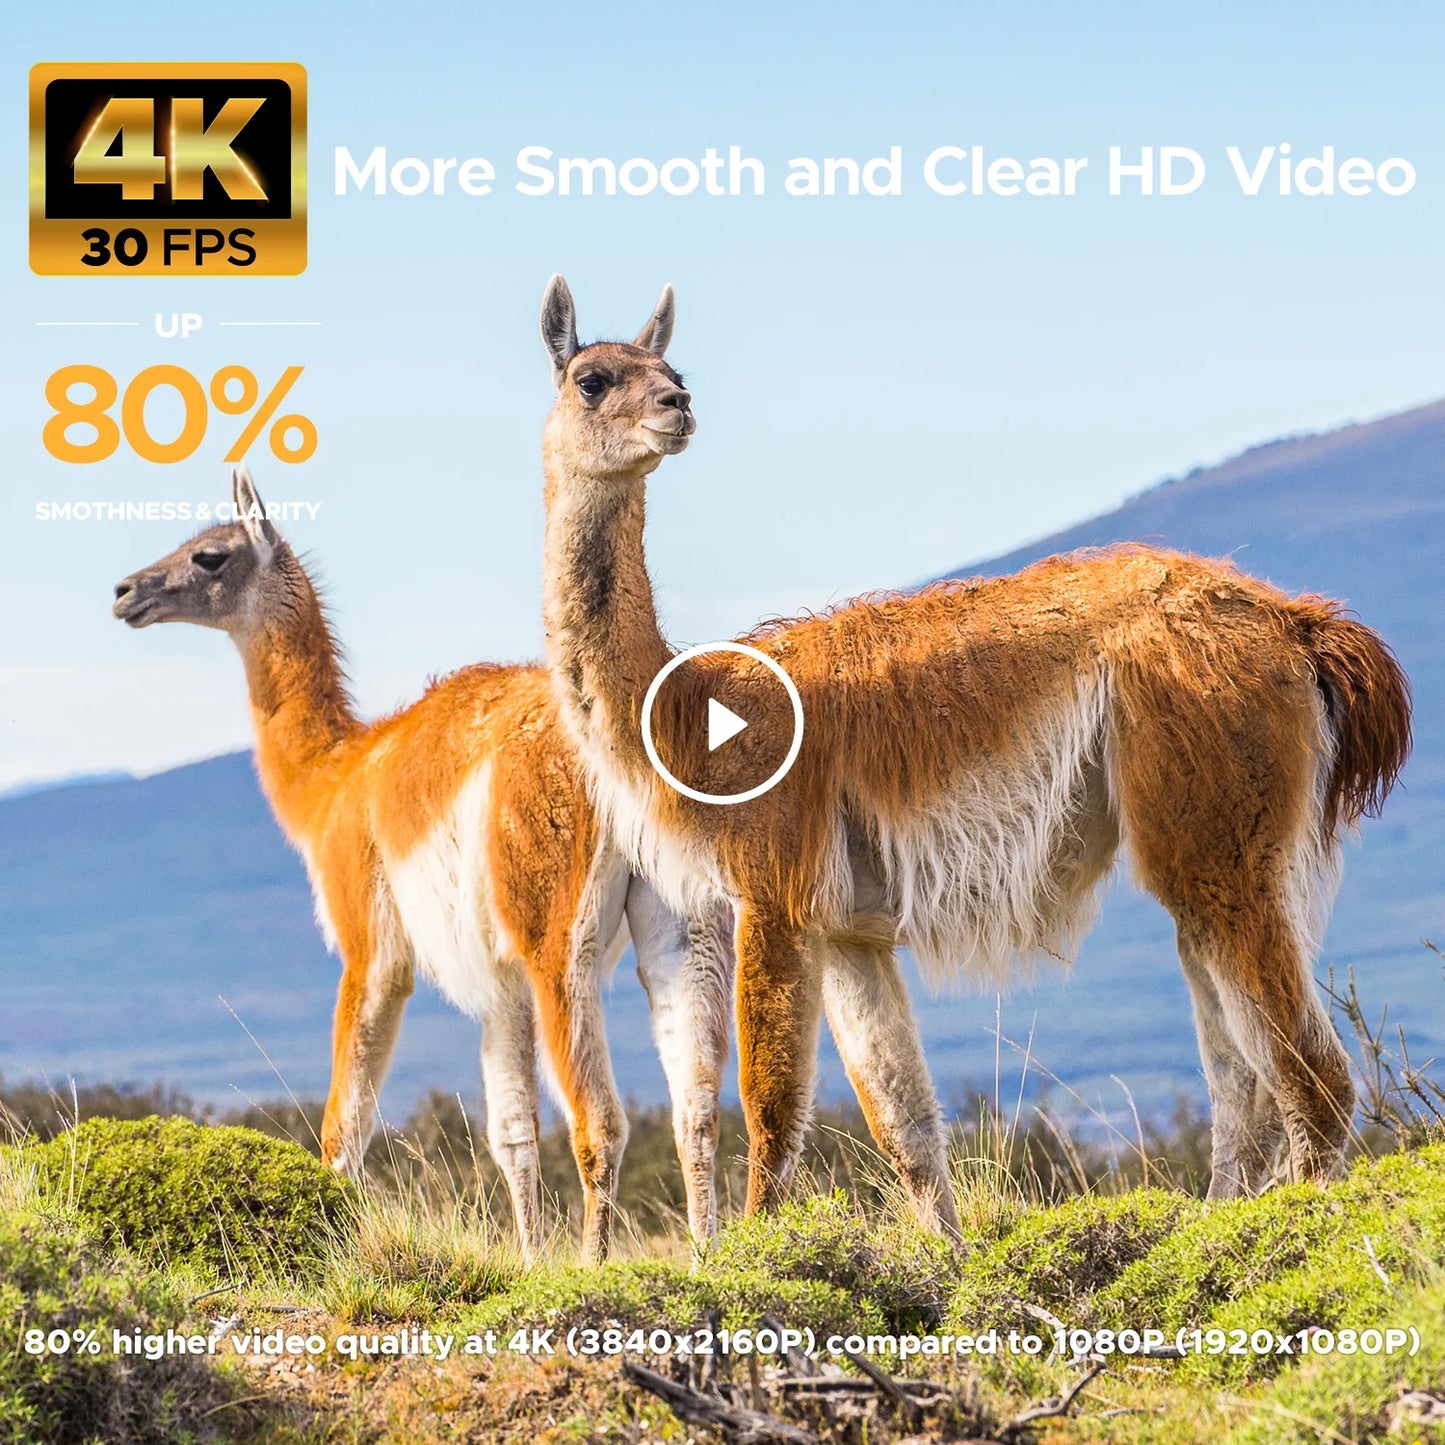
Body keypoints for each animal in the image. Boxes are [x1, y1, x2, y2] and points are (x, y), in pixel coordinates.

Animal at [112, 466, 732, 1263]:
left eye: (209, 555)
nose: (125, 591)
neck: (333, 778)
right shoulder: (501, 987)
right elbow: (512, 1134)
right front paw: (531, 1262)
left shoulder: (370, 947)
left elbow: (343, 1130)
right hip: (683, 921)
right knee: (697, 1107)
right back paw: (708, 1259)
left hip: (555, 931)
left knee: (601, 1121)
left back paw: (595, 1268)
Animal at [535, 275, 1413, 1231]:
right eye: (592, 378)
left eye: (672, 373)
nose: (676, 408)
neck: (690, 716)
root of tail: (1296, 623)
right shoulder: (849, 925)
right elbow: (904, 1125)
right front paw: (945, 1256)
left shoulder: (772, 890)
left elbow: (770, 1114)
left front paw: (757, 1259)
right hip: (1223, 853)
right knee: (1241, 1085)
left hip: (1220, 831)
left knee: (1312, 1081)